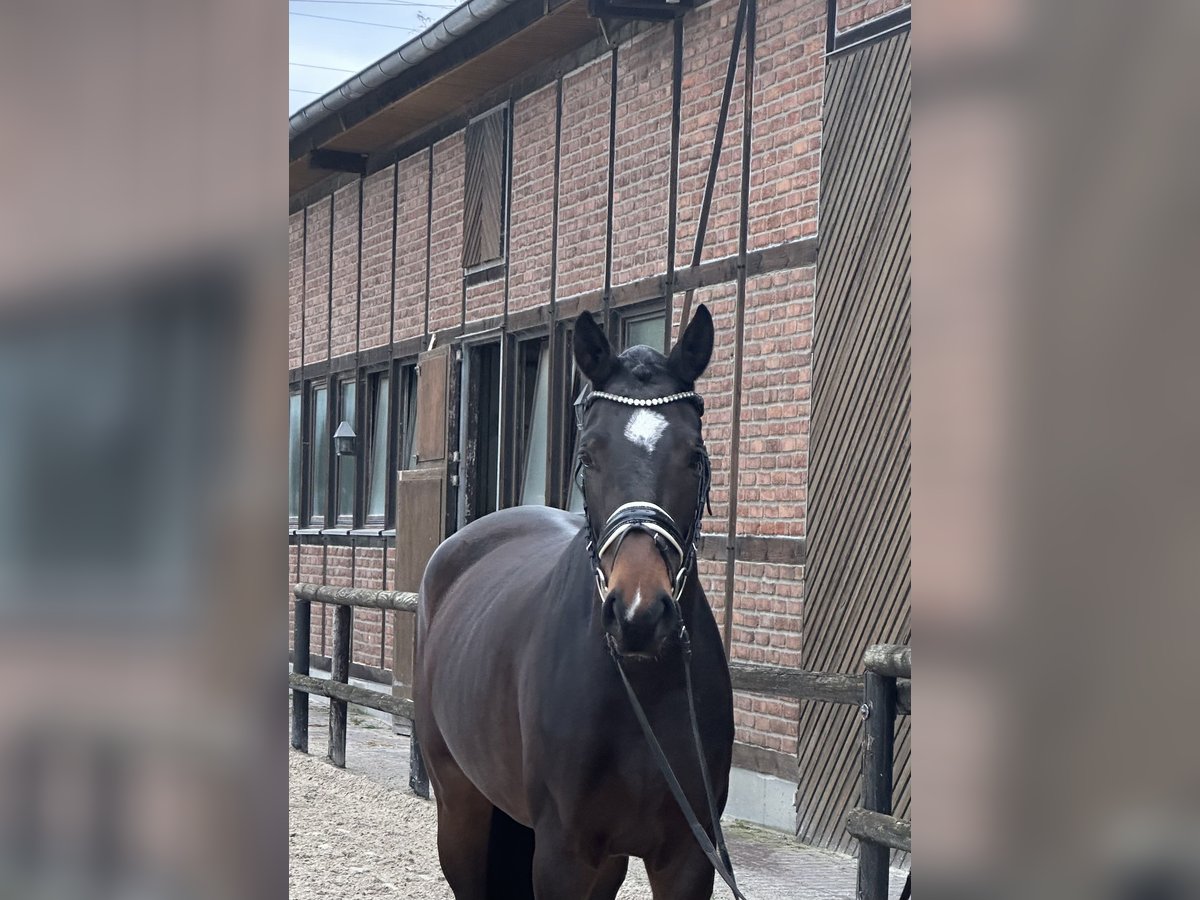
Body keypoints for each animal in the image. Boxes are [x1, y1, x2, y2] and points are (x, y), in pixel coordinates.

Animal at [417, 307, 734, 897]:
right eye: (587, 455)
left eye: (695, 456)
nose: (638, 615)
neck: (641, 688)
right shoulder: (561, 854)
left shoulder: (687, 858)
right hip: (460, 808)